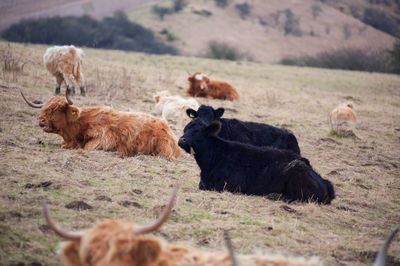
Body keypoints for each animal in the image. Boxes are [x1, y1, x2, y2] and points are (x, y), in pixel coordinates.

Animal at [178, 119, 334, 205]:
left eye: (197, 131)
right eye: (184, 129)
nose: (181, 140)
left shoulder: (229, 185)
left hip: (297, 171)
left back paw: (274, 195)